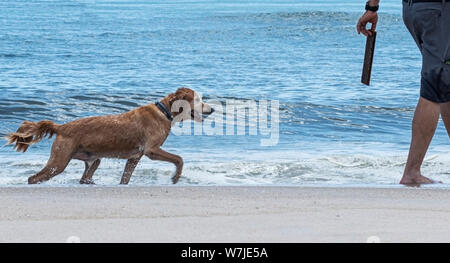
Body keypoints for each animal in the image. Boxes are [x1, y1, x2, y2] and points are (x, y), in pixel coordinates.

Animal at [4, 88, 213, 186]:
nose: (212, 109)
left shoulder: (134, 157)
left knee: (85, 177)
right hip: (60, 160)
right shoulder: (151, 150)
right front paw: (175, 178)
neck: (165, 111)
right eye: (198, 100)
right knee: (34, 178)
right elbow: (179, 159)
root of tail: (61, 127)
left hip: (92, 159)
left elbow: (125, 178)